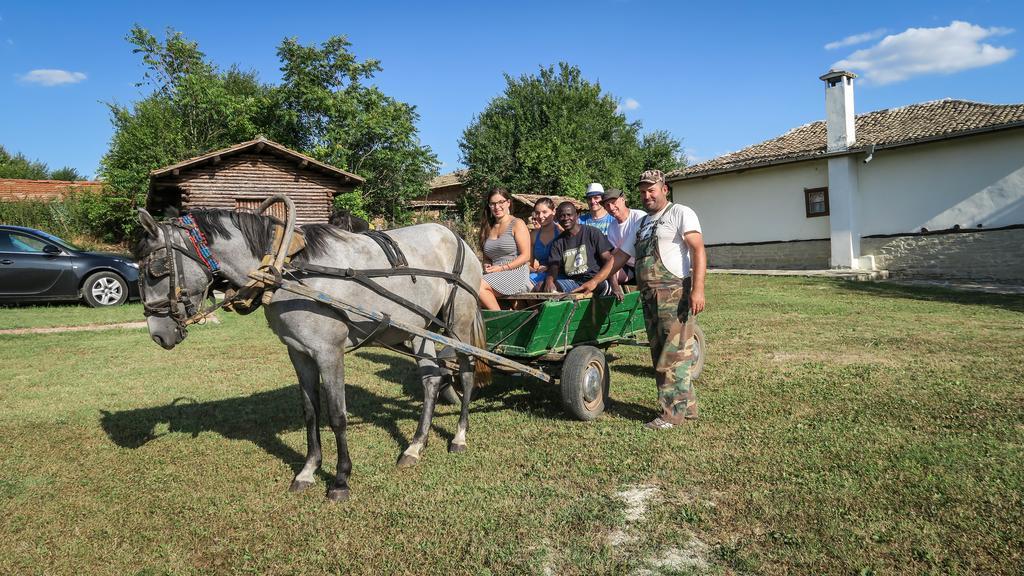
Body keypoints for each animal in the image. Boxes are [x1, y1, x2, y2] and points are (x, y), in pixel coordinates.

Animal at [137, 208, 487, 500]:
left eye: (156, 269)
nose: (158, 333)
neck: (288, 270)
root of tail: (459, 239)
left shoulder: (329, 353)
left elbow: (337, 415)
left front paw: (341, 480)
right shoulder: (299, 353)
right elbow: (310, 412)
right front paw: (307, 471)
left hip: (458, 324)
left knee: (466, 373)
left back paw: (459, 436)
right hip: (419, 330)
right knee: (431, 381)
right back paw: (415, 446)